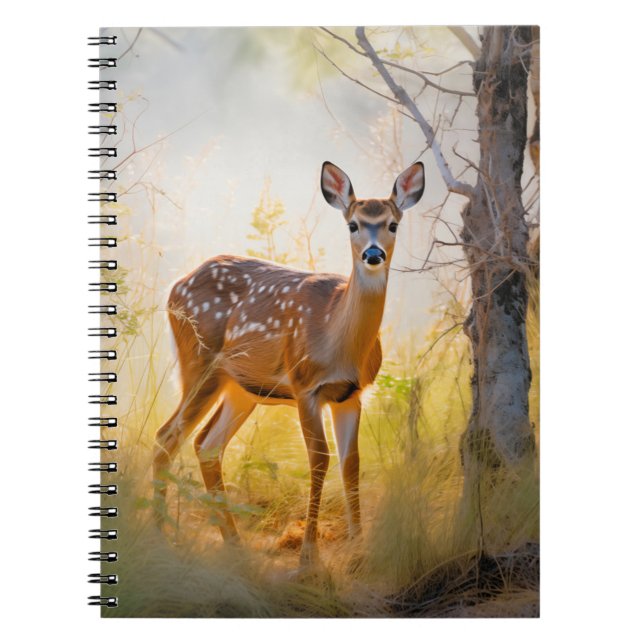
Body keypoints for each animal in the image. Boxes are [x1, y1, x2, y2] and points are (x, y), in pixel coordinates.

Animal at [152, 161, 425, 567]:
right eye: (353, 224)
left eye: (393, 224)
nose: (374, 254)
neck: (337, 338)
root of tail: (175, 287)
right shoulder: (305, 385)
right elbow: (320, 460)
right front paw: (309, 557)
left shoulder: (352, 394)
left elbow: (351, 462)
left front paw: (359, 550)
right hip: (199, 363)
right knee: (166, 437)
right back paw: (160, 536)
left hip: (242, 387)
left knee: (207, 444)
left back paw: (234, 544)